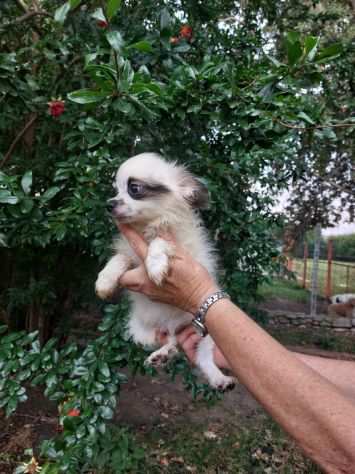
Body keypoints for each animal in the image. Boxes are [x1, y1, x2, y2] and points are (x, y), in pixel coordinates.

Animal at [96, 154, 238, 390]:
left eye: (134, 188)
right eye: (115, 190)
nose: (109, 204)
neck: (146, 227)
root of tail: (173, 327)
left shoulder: (183, 248)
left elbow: (160, 241)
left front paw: (155, 265)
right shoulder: (129, 254)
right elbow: (119, 258)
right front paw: (105, 281)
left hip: (211, 332)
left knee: (204, 357)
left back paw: (220, 379)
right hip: (141, 332)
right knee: (171, 342)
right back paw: (163, 354)